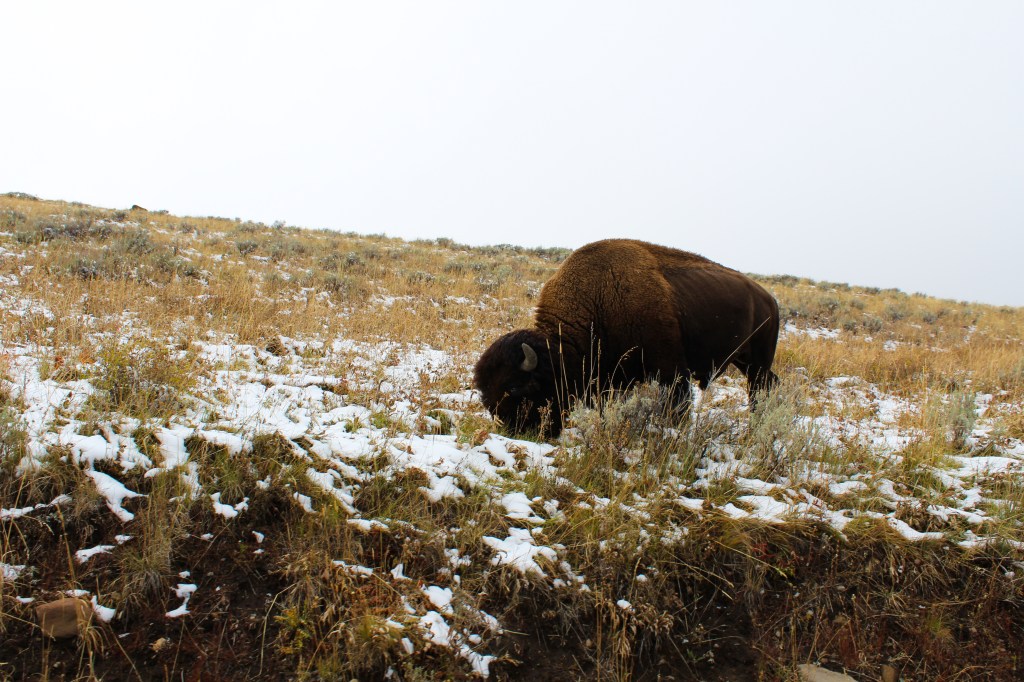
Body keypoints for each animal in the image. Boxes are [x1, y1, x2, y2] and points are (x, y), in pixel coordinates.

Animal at [473, 239, 780, 436]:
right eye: (485, 393)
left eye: (516, 388)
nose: (516, 431)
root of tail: (770, 300)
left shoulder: (672, 372)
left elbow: (677, 407)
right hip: (746, 362)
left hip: (757, 363)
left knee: (759, 389)